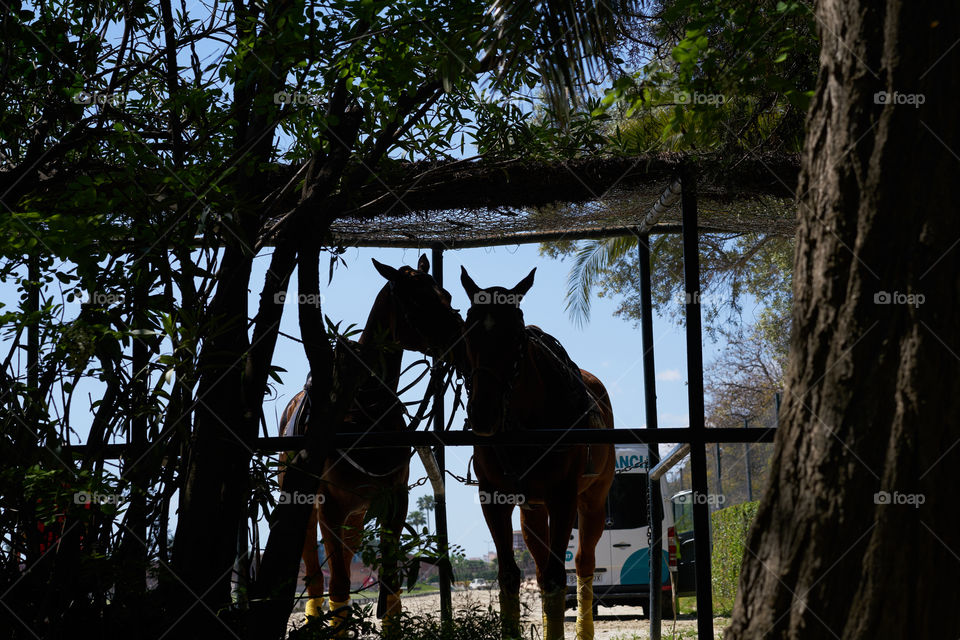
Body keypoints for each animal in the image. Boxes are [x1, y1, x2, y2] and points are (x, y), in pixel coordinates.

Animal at [276, 255, 464, 632]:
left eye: (447, 294)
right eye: (417, 301)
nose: (462, 339)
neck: (364, 409)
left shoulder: (394, 501)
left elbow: (389, 588)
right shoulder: (329, 507)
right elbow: (339, 588)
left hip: (355, 517)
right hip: (308, 511)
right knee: (317, 579)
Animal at [460, 266, 616, 640]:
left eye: (516, 336)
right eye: (468, 332)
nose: (483, 413)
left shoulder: (563, 498)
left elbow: (560, 577)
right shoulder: (494, 498)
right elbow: (509, 575)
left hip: (591, 502)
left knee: (582, 563)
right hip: (532, 511)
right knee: (542, 570)